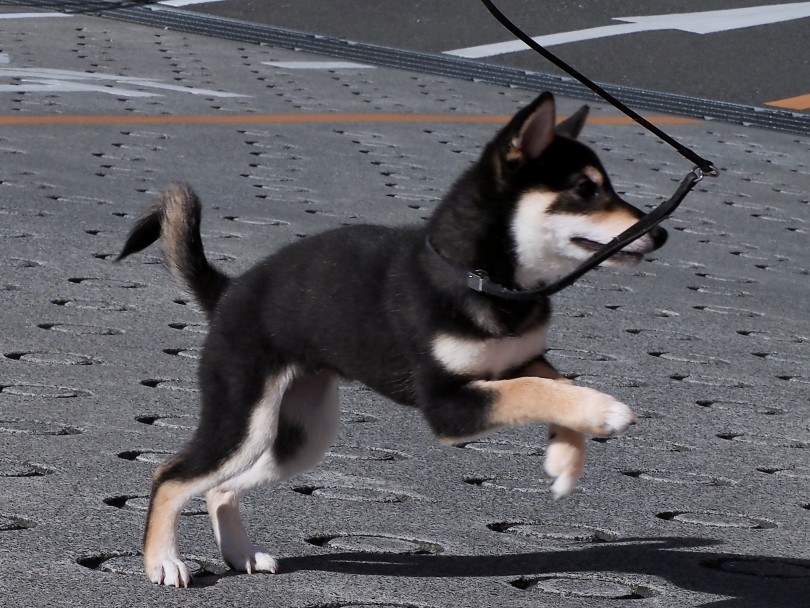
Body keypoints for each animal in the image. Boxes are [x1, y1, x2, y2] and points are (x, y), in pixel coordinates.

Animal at [118, 92, 664, 588]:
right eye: (585, 189)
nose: (659, 235)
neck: (485, 278)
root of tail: (230, 291)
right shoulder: (448, 405)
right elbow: (533, 391)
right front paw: (602, 412)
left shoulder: (517, 358)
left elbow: (554, 383)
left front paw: (565, 459)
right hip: (244, 419)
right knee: (171, 475)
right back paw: (163, 561)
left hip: (302, 436)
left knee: (219, 489)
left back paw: (240, 554)